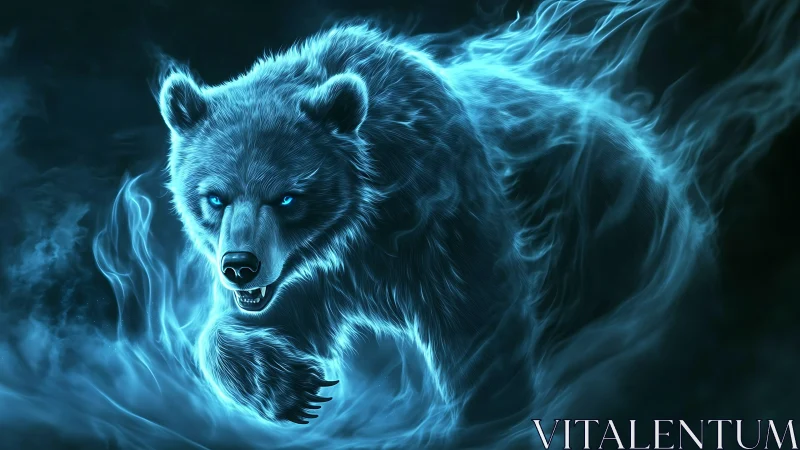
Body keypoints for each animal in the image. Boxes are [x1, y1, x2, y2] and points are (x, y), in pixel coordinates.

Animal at [157, 24, 706, 442]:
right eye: (215, 197)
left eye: (288, 198)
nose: (239, 266)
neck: (361, 226)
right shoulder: (315, 278)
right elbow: (254, 326)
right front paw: (291, 386)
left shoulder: (441, 223)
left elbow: (480, 327)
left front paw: (481, 420)